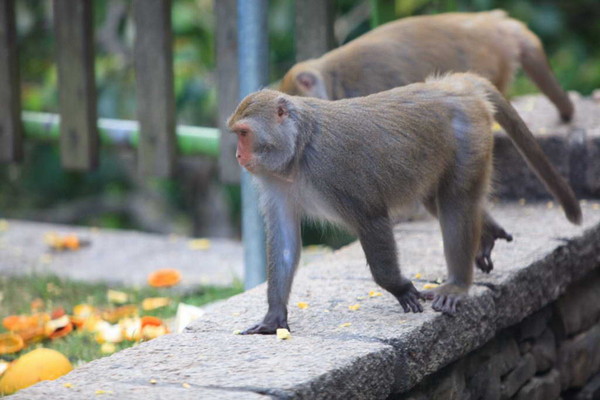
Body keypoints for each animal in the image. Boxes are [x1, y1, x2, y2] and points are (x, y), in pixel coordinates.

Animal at [230, 72, 580, 334]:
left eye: (244, 134)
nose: (237, 156)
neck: (298, 153)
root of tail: (451, 86)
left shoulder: (335, 171)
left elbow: (371, 219)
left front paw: (398, 287)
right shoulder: (275, 183)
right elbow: (285, 243)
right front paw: (274, 317)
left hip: (470, 137)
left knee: (456, 202)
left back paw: (457, 284)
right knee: (437, 200)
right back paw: (487, 233)